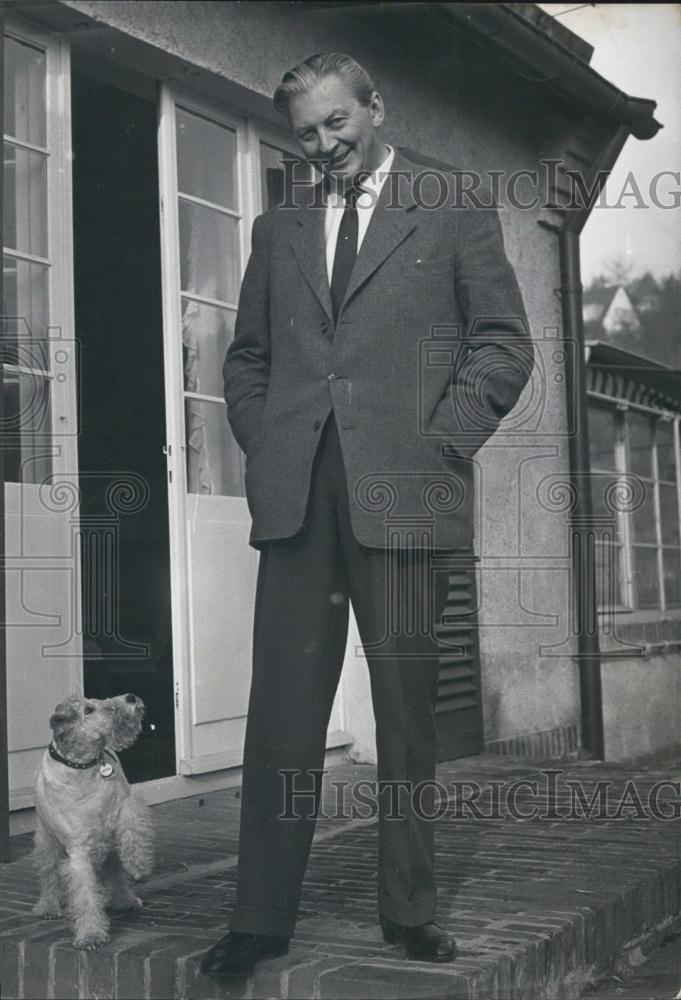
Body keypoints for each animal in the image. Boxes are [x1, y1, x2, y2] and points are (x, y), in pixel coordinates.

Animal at [32, 692, 154, 948]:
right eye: (88, 710)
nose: (130, 697)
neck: (84, 768)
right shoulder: (79, 851)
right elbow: (85, 895)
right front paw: (90, 935)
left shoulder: (124, 807)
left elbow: (133, 829)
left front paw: (139, 864)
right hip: (46, 841)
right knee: (48, 875)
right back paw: (48, 907)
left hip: (110, 844)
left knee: (116, 872)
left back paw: (124, 899)